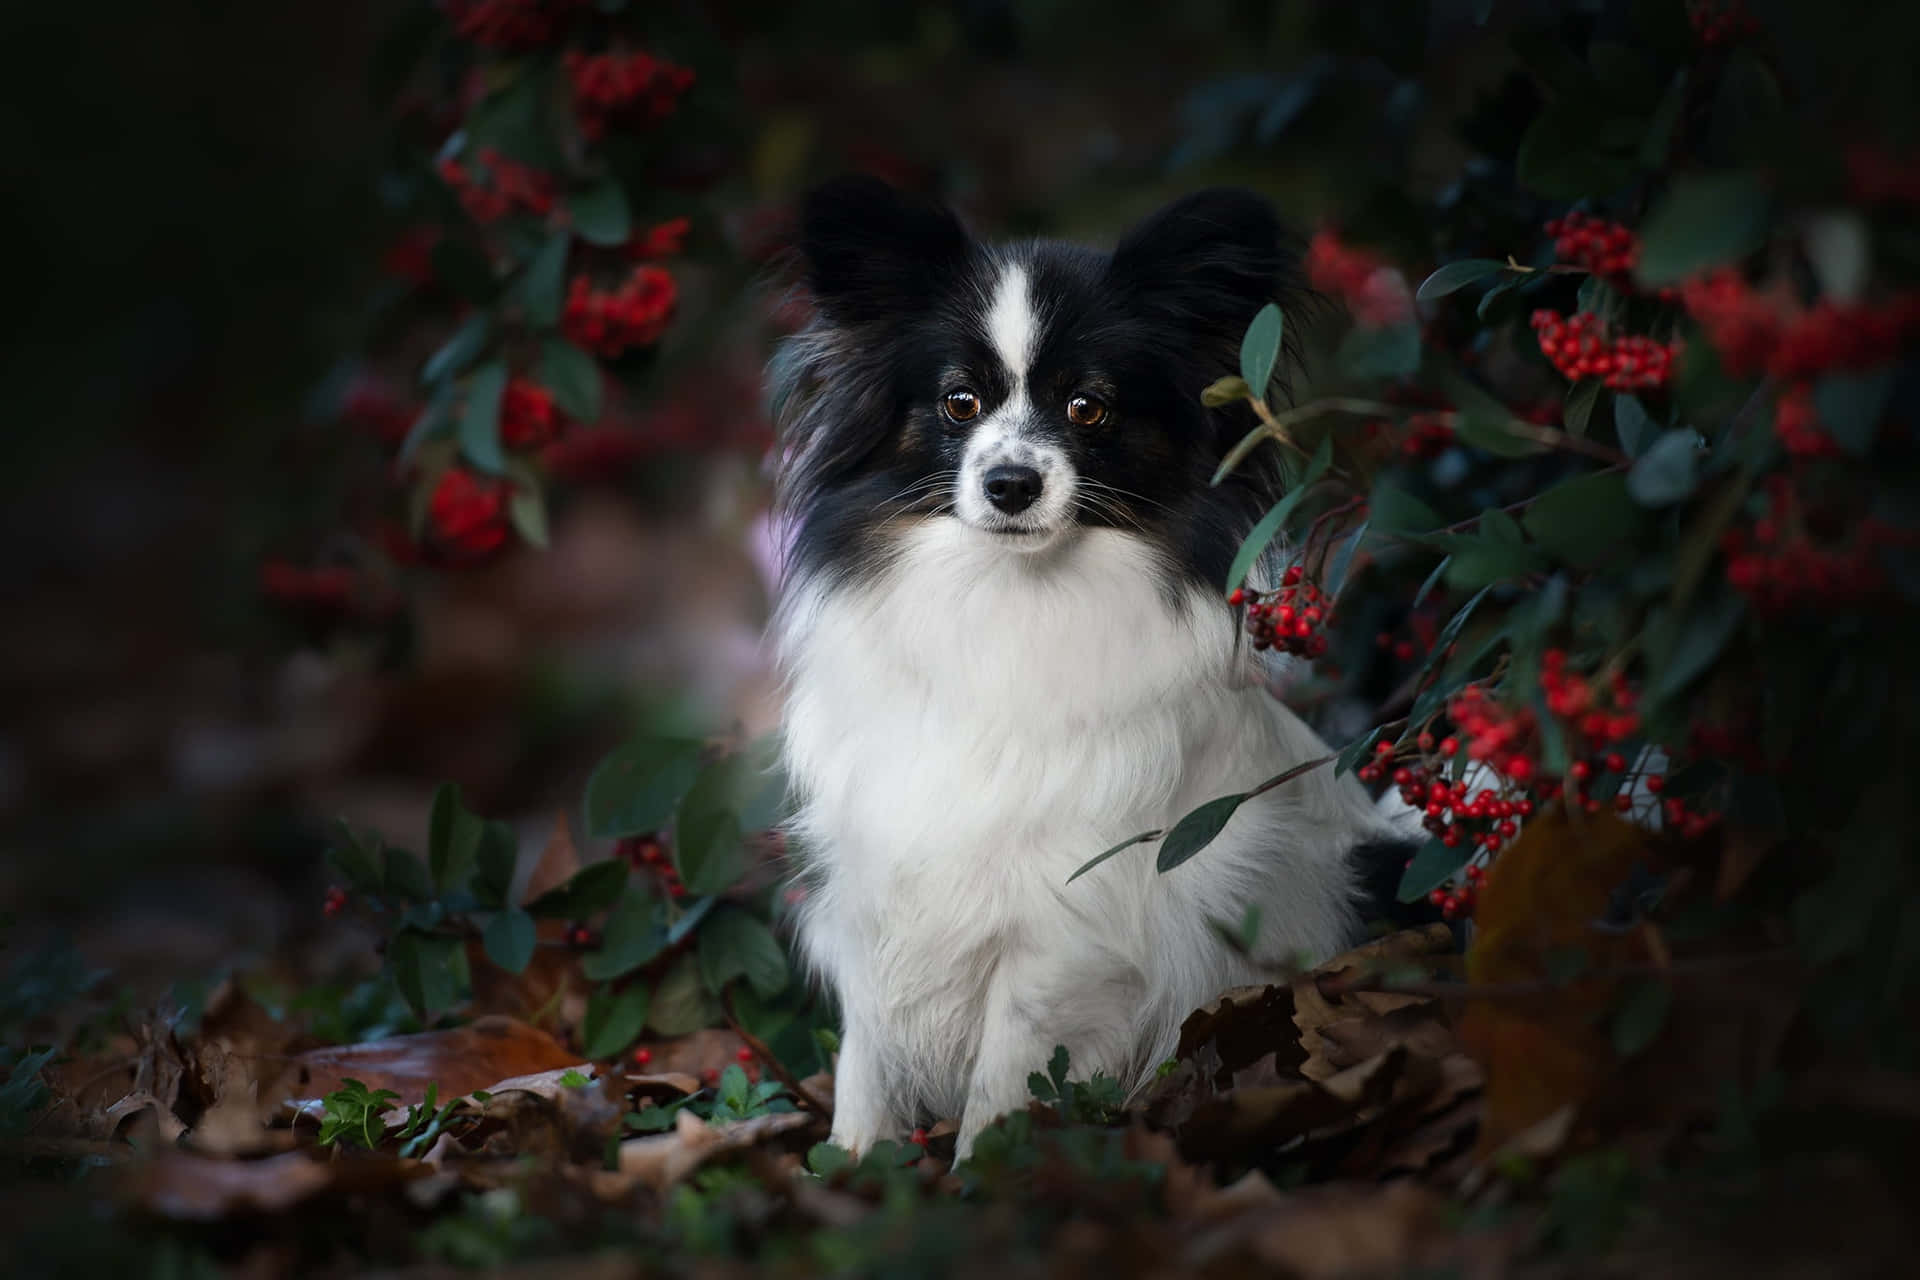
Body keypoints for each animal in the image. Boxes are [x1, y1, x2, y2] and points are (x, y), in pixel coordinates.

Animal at [760, 175, 1413, 1159]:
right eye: (959, 403)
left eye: (1087, 409)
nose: (1011, 485)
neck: (1007, 601)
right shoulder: (882, 877)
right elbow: (864, 1063)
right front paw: (850, 1167)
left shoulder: (1065, 918)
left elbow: (1005, 1072)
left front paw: (979, 1174)